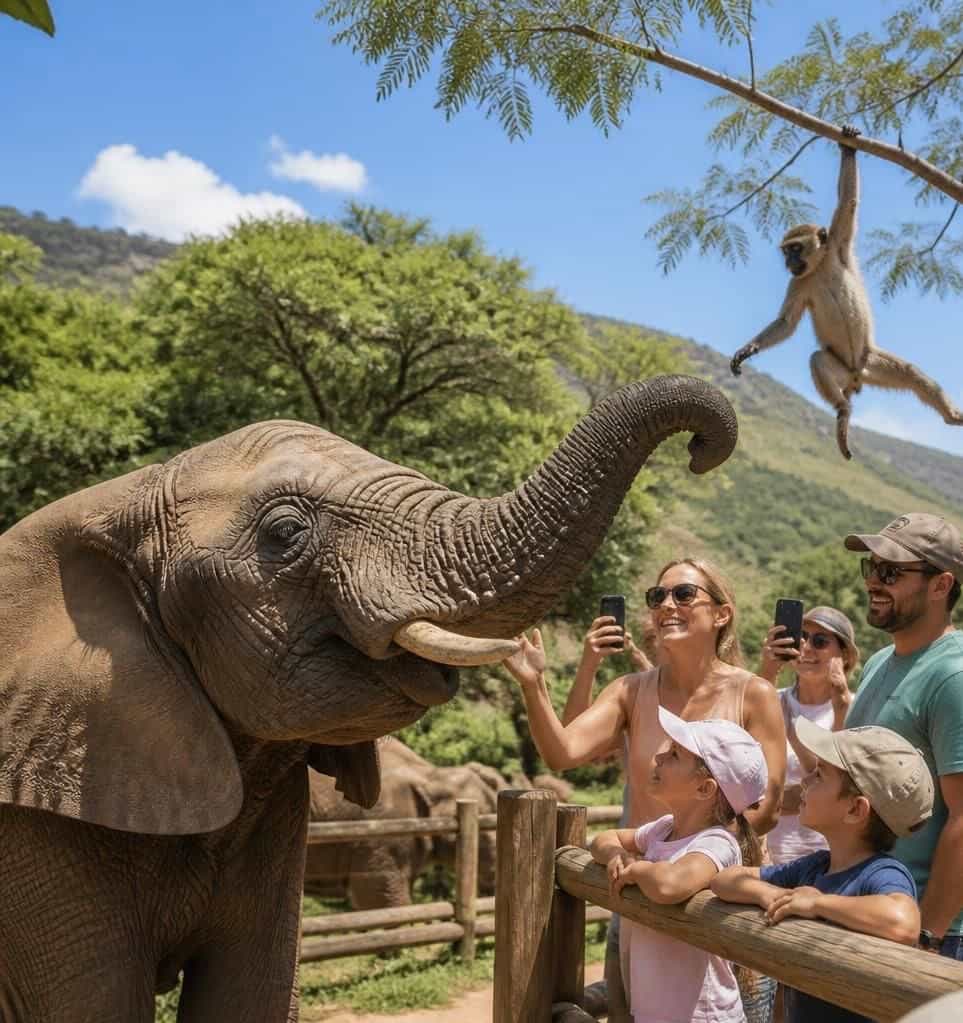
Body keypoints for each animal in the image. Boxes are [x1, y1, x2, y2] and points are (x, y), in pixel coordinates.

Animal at [730, 125, 963, 460]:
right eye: (786, 252)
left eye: (795, 248)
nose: (788, 262)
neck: (818, 268)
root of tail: (856, 376)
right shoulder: (798, 282)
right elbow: (786, 323)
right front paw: (748, 349)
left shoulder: (837, 244)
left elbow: (848, 203)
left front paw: (848, 146)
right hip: (844, 368)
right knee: (819, 360)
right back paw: (842, 411)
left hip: (870, 361)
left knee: (912, 374)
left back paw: (951, 415)